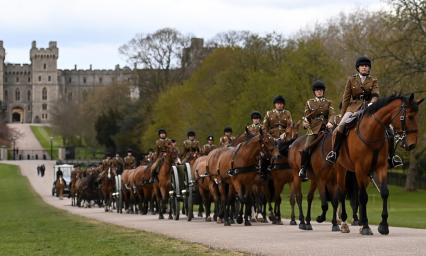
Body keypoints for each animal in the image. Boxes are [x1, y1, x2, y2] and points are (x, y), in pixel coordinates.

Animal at [332, 93, 422, 235]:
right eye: (410, 116)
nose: (412, 144)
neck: (372, 131)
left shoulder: (381, 167)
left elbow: (383, 192)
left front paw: (383, 226)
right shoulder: (360, 169)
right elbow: (363, 196)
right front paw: (366, 227)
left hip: (365, 175)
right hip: (341, 169)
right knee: (342, 193)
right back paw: (345, 224)